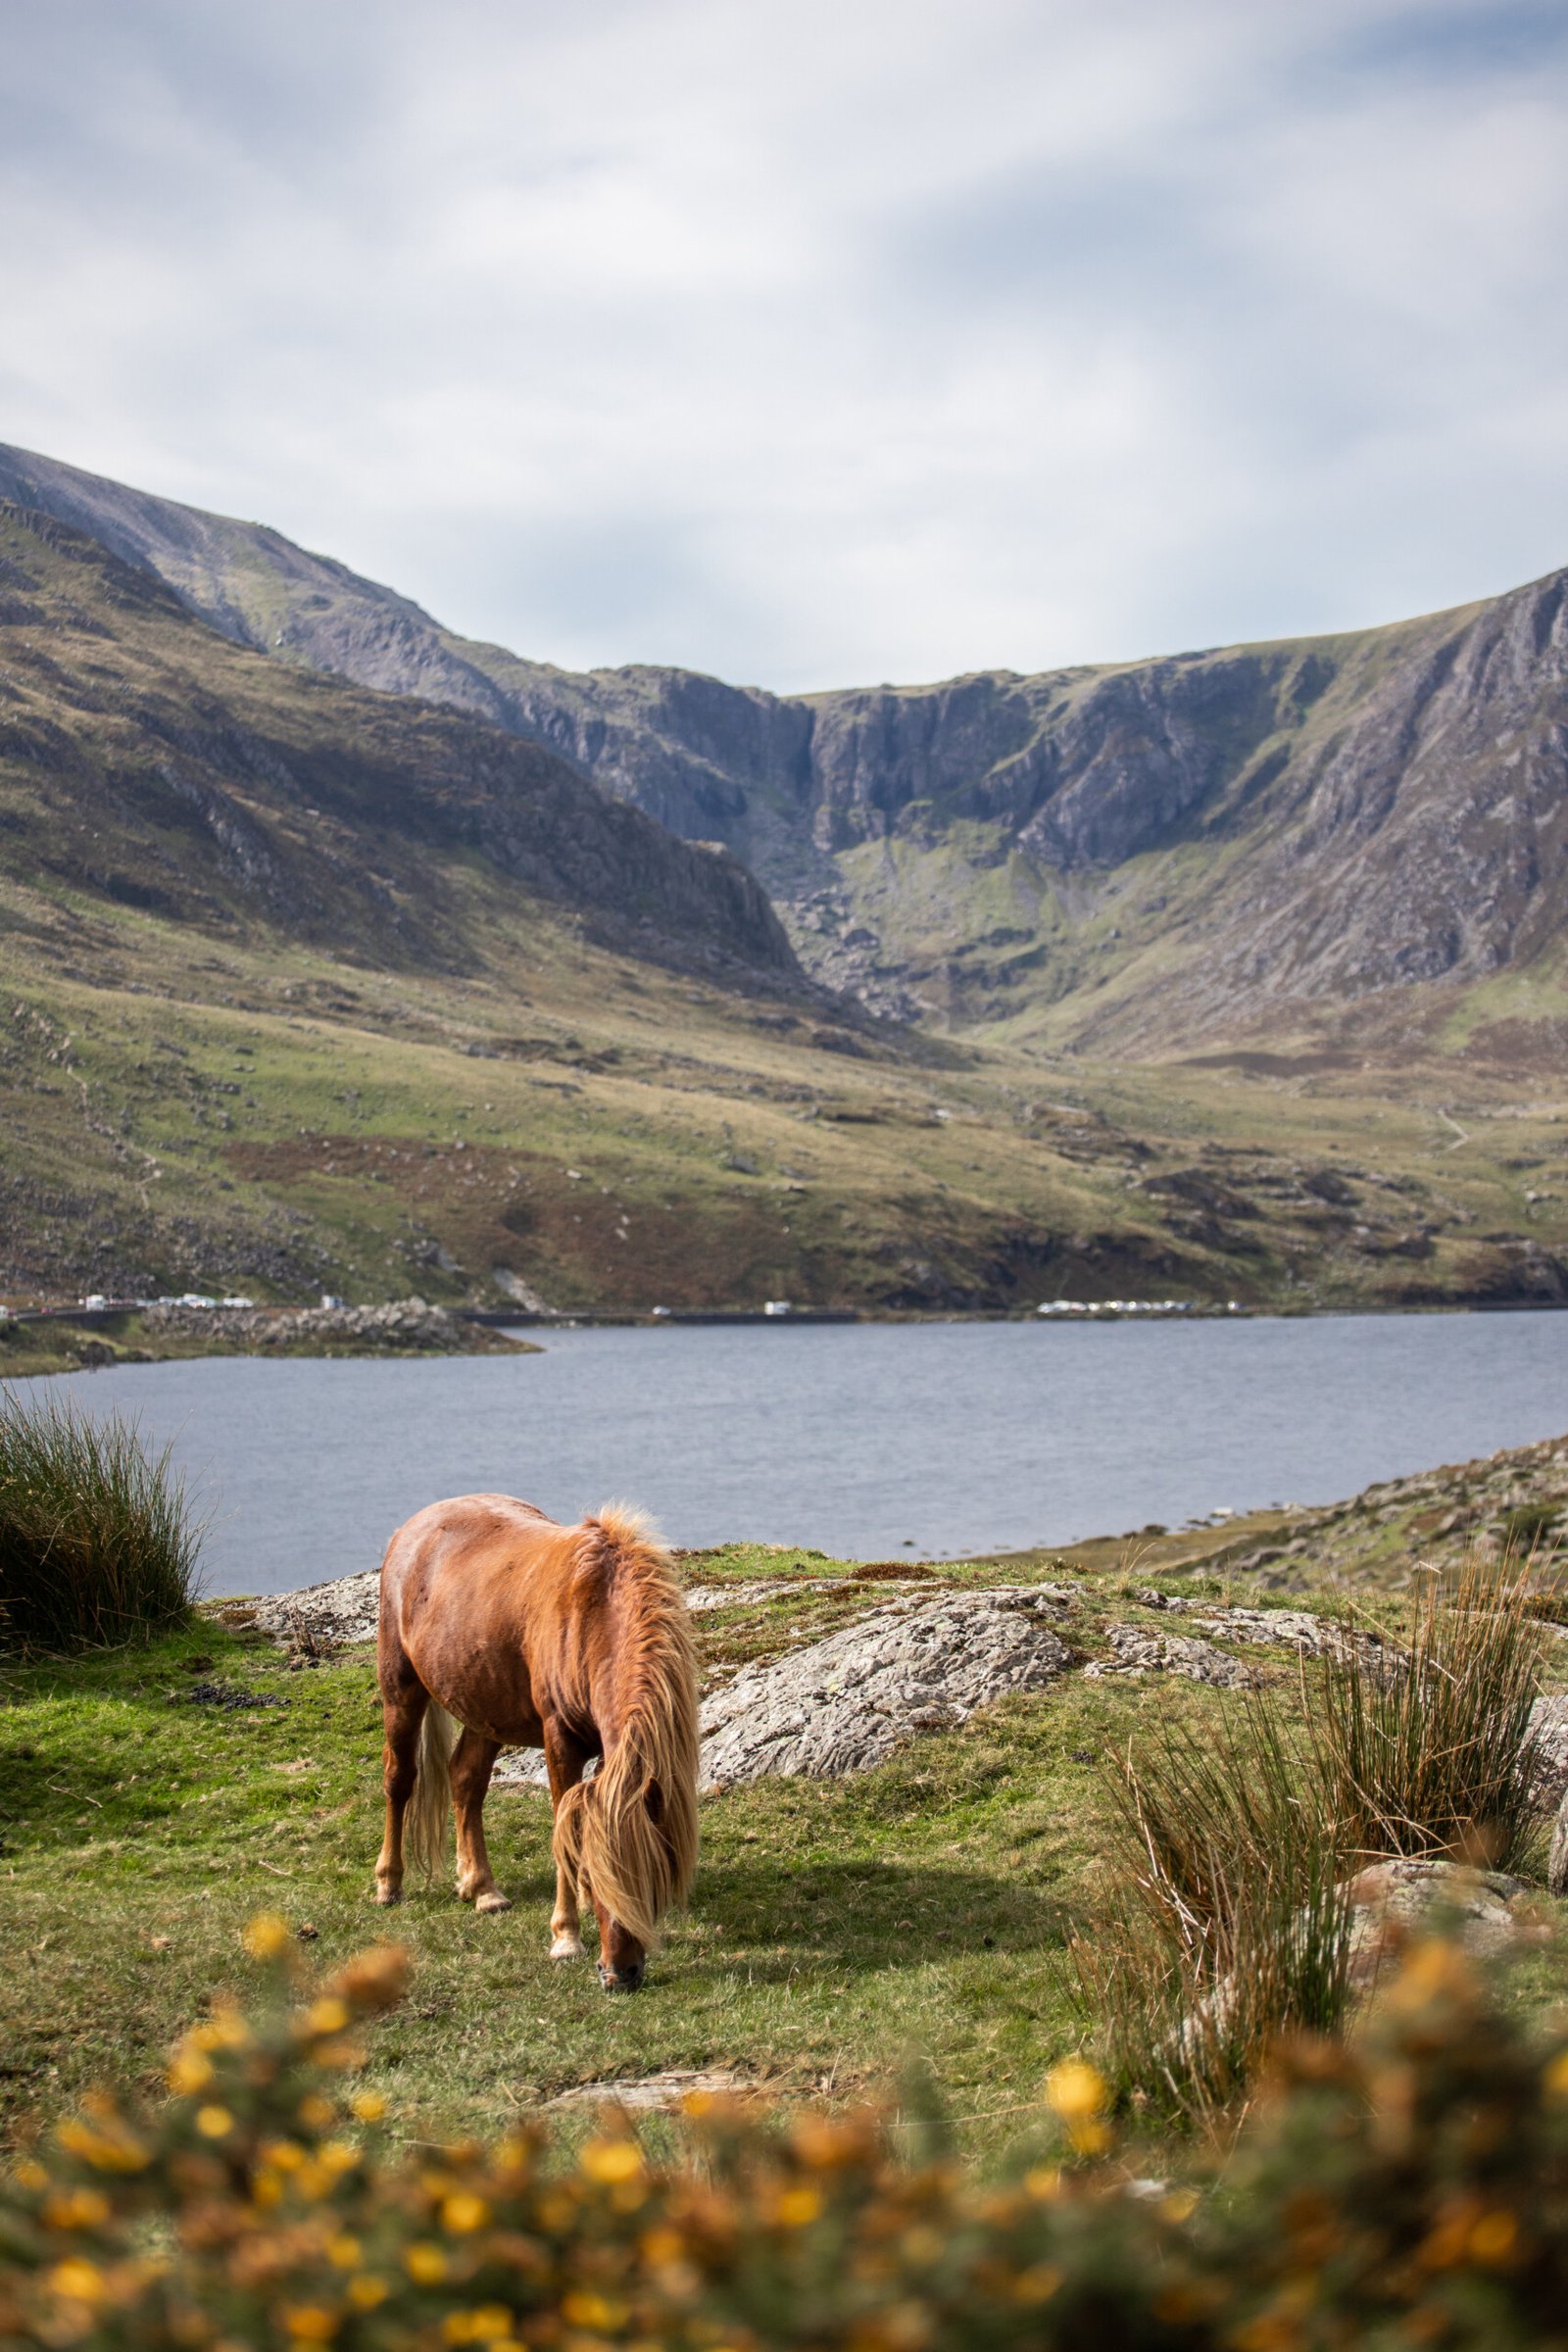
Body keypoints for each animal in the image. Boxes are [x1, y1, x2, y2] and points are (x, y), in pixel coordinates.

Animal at [374, 1495, 699, 1991]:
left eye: (652, 1876)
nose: (619, 1974)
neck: (594, 1614)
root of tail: (415, 1527)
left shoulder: (604, 1752)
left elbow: (579, 1822)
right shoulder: (559, 1739)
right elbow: (566, 1825)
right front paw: (566, 1935)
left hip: (485, 1708)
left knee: (465, 1779)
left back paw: (481, 1888)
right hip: (401, 1690)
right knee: (400, 1779)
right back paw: (389, 1883)